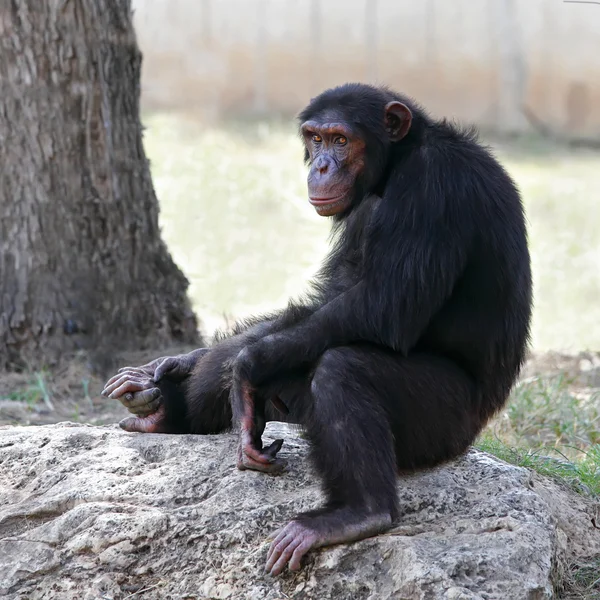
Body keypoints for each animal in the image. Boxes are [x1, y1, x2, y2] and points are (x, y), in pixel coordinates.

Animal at [101, 84, 532, 576]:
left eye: (342, 140)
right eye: (316, 138)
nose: (322, 165)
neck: (396, 165)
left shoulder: (434, 188)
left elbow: (383, 306)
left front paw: (245, 368)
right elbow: (332, 298)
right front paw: (182, 364)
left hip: (447, 425)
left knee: (343, 367)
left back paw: (359, 513)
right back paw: (165, 412)